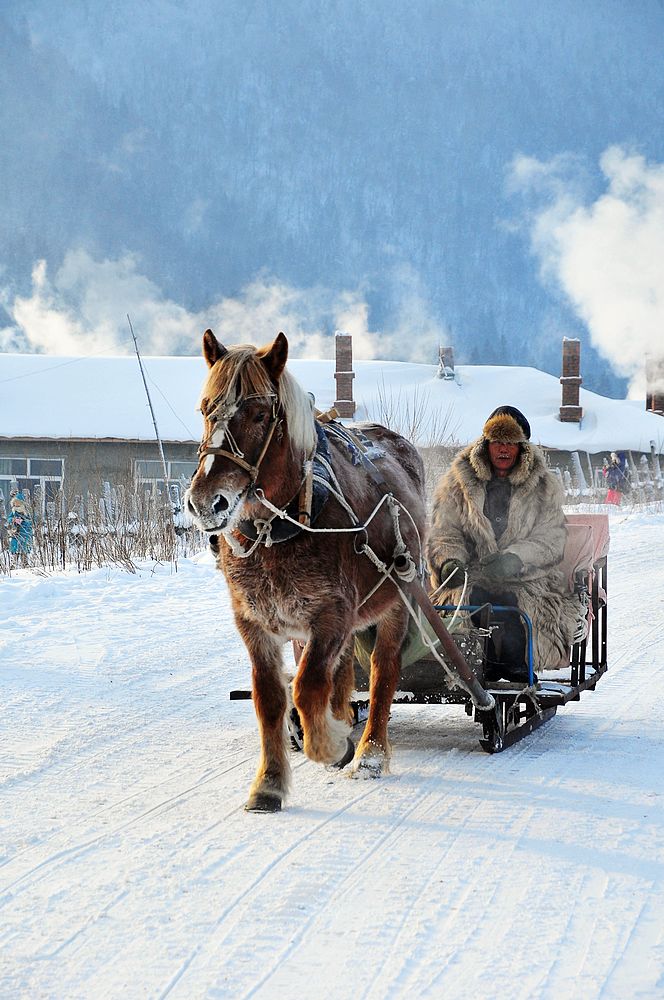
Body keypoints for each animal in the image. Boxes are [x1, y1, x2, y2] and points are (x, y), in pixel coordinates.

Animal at [184, 330, 428, 812]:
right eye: (205, 408)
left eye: (260, 414)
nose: (206, 502)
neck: (280, 530)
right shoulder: (255, 623)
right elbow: (271, 698)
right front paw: (270, 782)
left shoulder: (331, 615)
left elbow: (307, 685)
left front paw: (333, 745)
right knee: (345, 673)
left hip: (399, 597)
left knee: (382, 671)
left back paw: (370, 751)